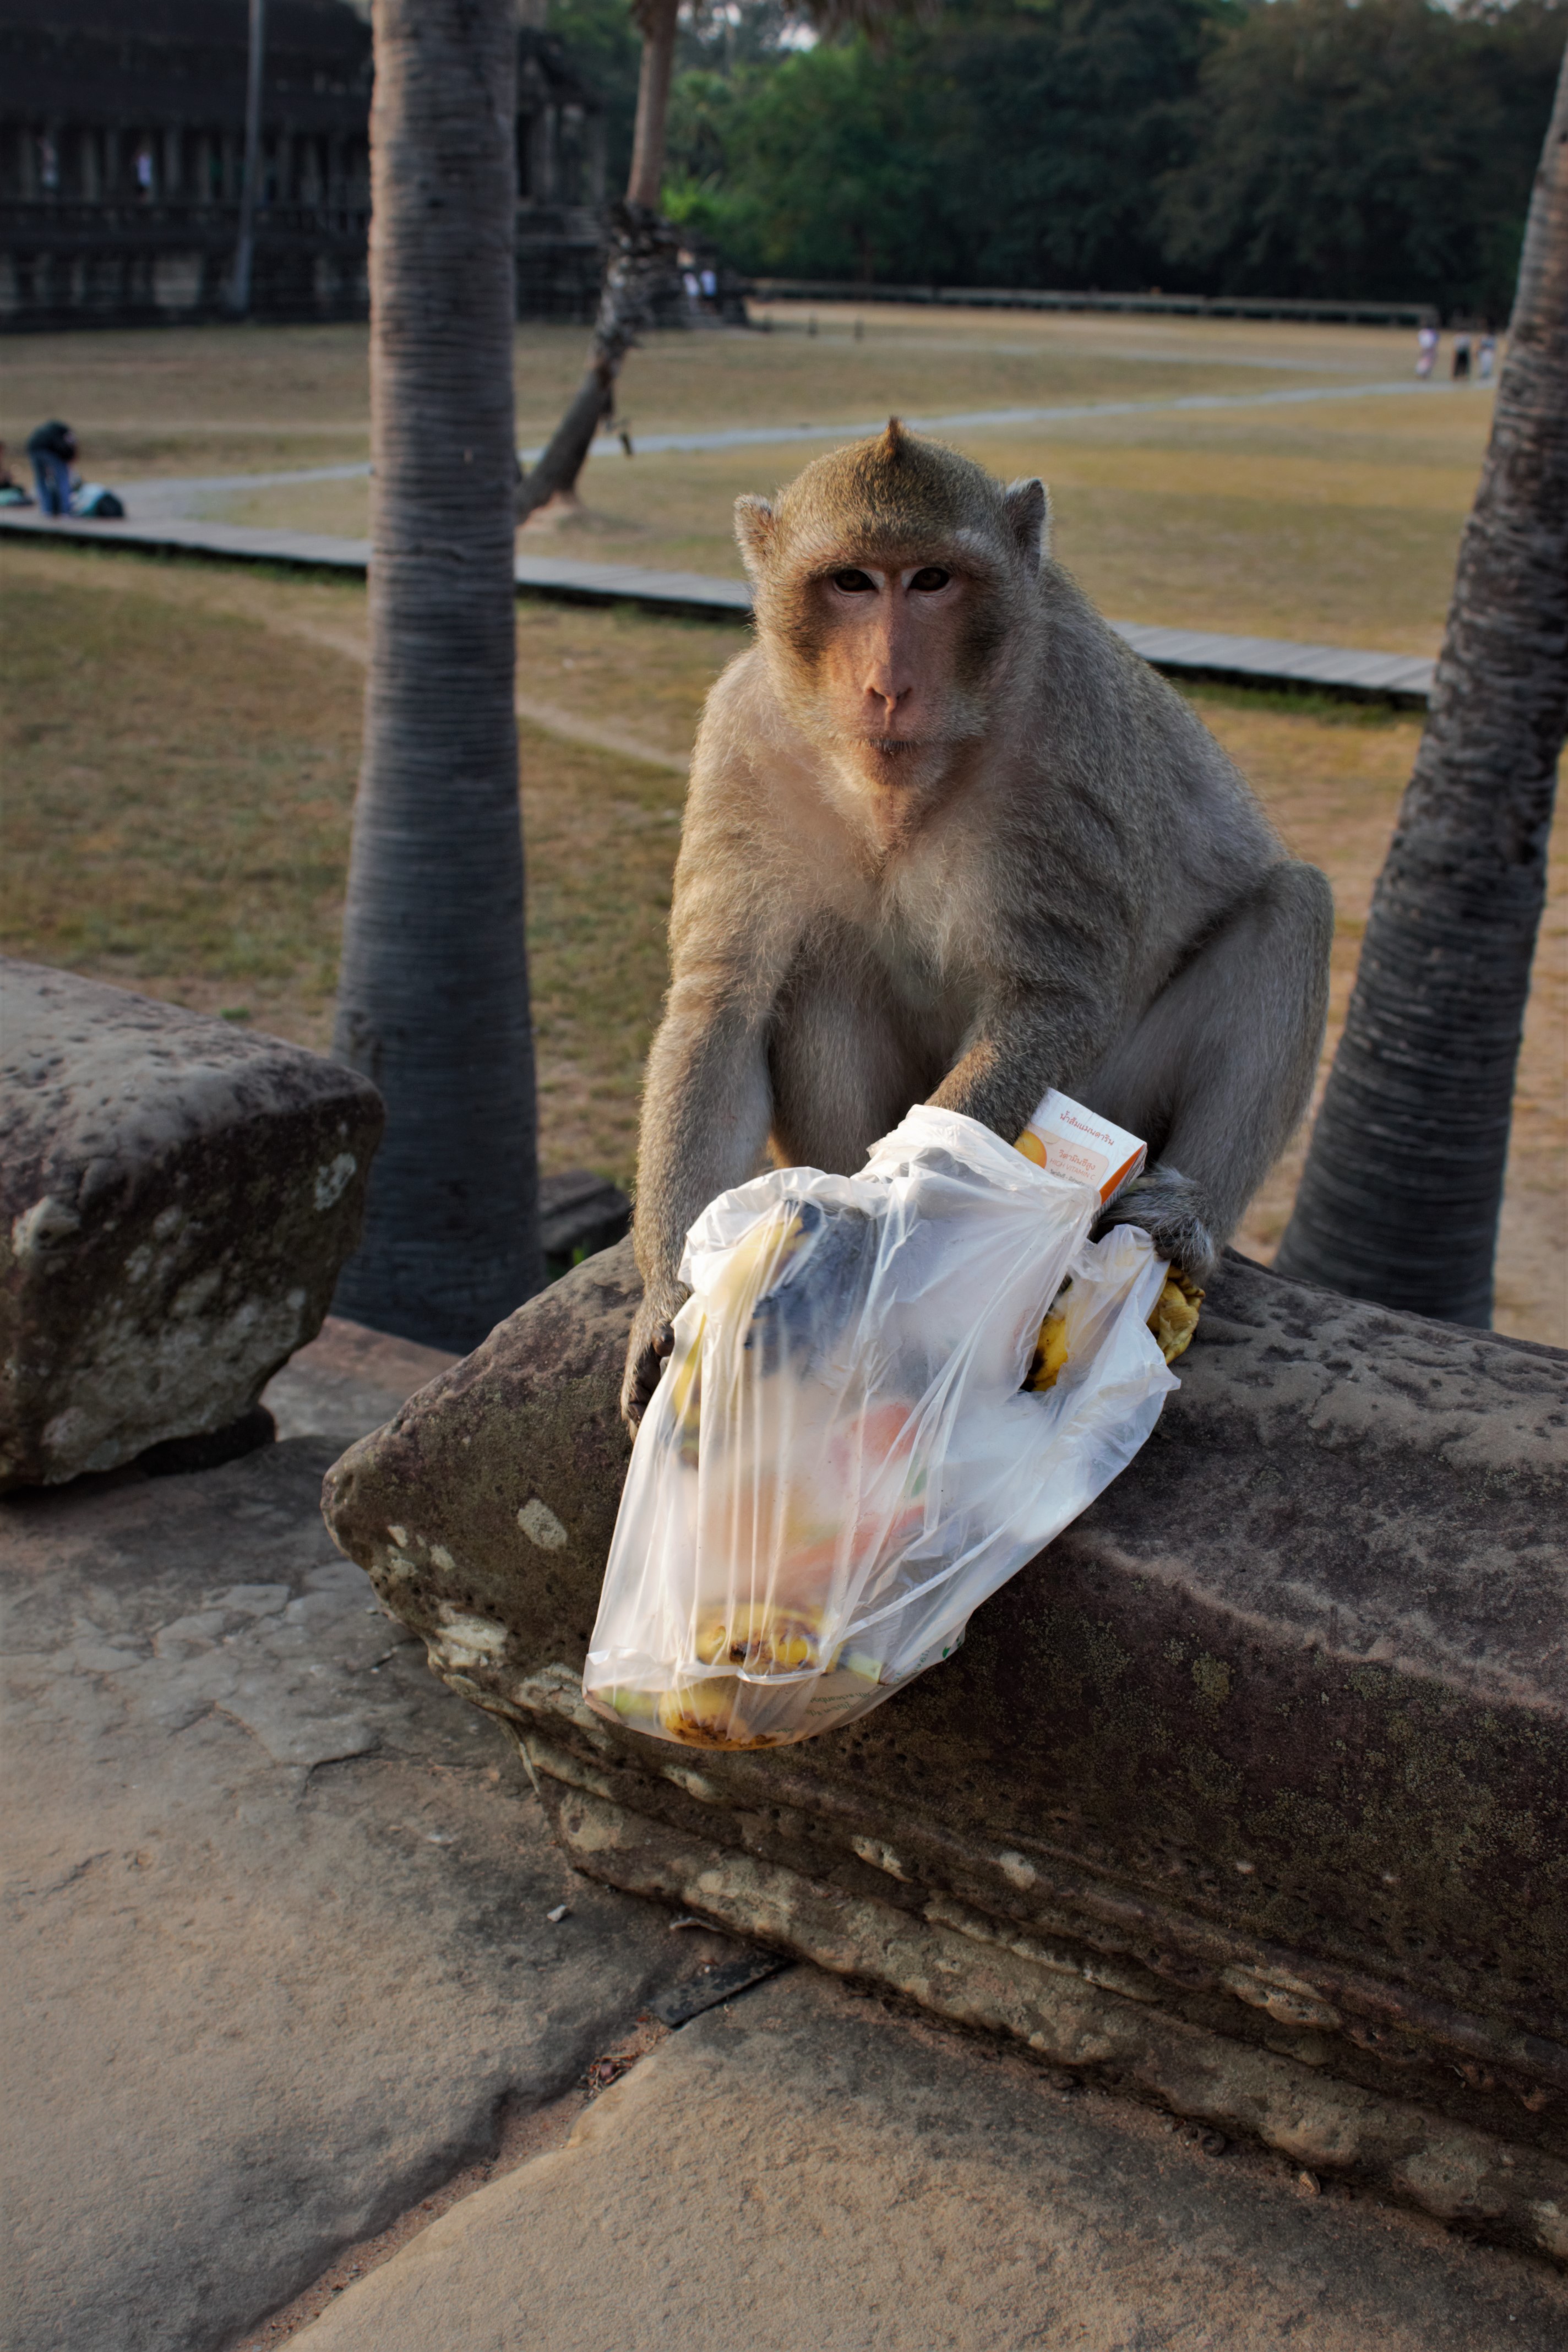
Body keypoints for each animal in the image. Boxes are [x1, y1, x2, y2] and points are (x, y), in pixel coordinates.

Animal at [620, 418, 1335, 1430]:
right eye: (851, 582)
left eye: (931, 580)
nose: (887, 686)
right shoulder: (741, 740)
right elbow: (722, 1004)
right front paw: (667, 1301)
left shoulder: (1068, 738)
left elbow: (1049, 1000)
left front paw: (856, 1238)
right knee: (815, 977)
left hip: (1119, 1099)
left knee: (1291, 909)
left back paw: (1180, 1223)